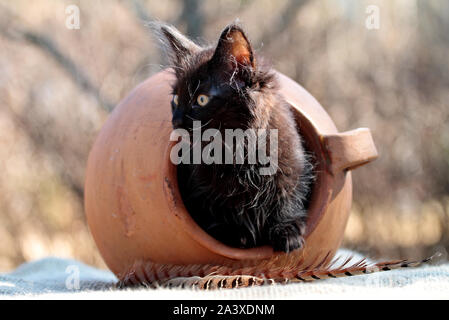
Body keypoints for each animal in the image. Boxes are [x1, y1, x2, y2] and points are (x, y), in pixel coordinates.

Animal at [152, 22, 314, 252]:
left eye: (201, 100)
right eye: (175, 99)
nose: (176, 121)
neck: (237, 153)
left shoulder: (292, 168)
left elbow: (288, 199)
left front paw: (287, 233)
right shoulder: (201, 190)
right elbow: (218, 211)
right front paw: (237, 235)